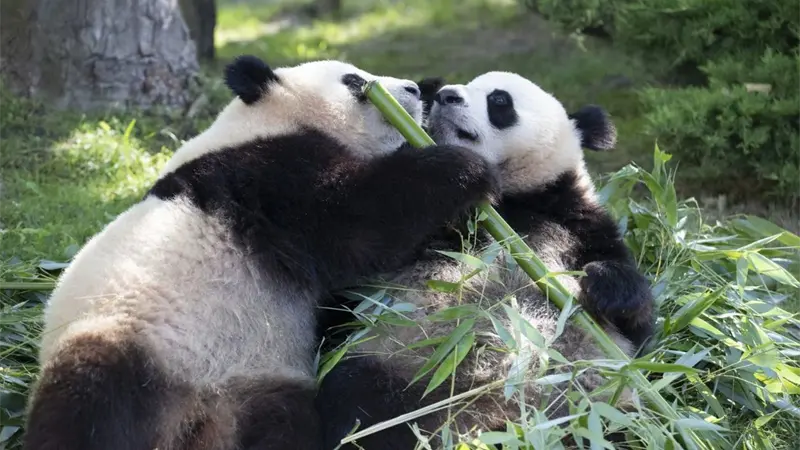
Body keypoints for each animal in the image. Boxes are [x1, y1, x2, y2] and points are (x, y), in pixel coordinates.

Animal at [22, 56, 500, 450]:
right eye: (354, 81)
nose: (414, 90)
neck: (268, 119)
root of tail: (194, 419)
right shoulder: (261, 175)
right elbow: (356, 221)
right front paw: (464, 167)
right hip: (130, 339)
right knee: (88, 406)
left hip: (261, 383)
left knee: (282, 429)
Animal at [316, 71, 655, 449]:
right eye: (446, 88)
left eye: (499, 101)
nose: (446, 95)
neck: (506, 197)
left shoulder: (579, 226)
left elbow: (638, 332)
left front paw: (607, 286)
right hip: (395, 363)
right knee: (359, 405)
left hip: (594, 404)